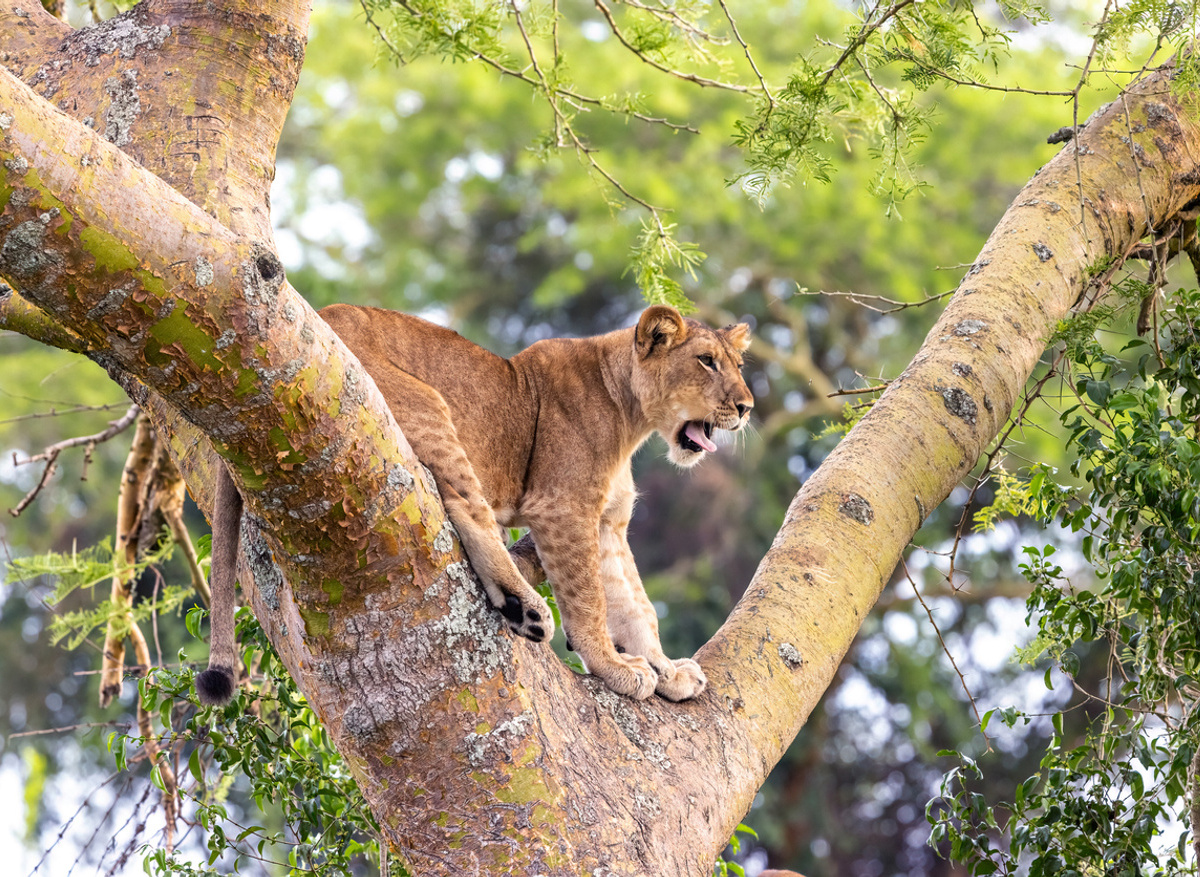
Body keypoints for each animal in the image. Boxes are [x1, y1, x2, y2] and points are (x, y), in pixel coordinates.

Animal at [197, 304, 753, 704]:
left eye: (739, 365)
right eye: (706, 361)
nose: (747, 407)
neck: (632, 415)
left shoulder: (608, 526)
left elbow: (635, 605)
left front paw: (667, 669)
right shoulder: (563, 508)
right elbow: (589, 600)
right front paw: (614, 668)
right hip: (424, 403)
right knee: (466, 503)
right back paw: (525, 608)